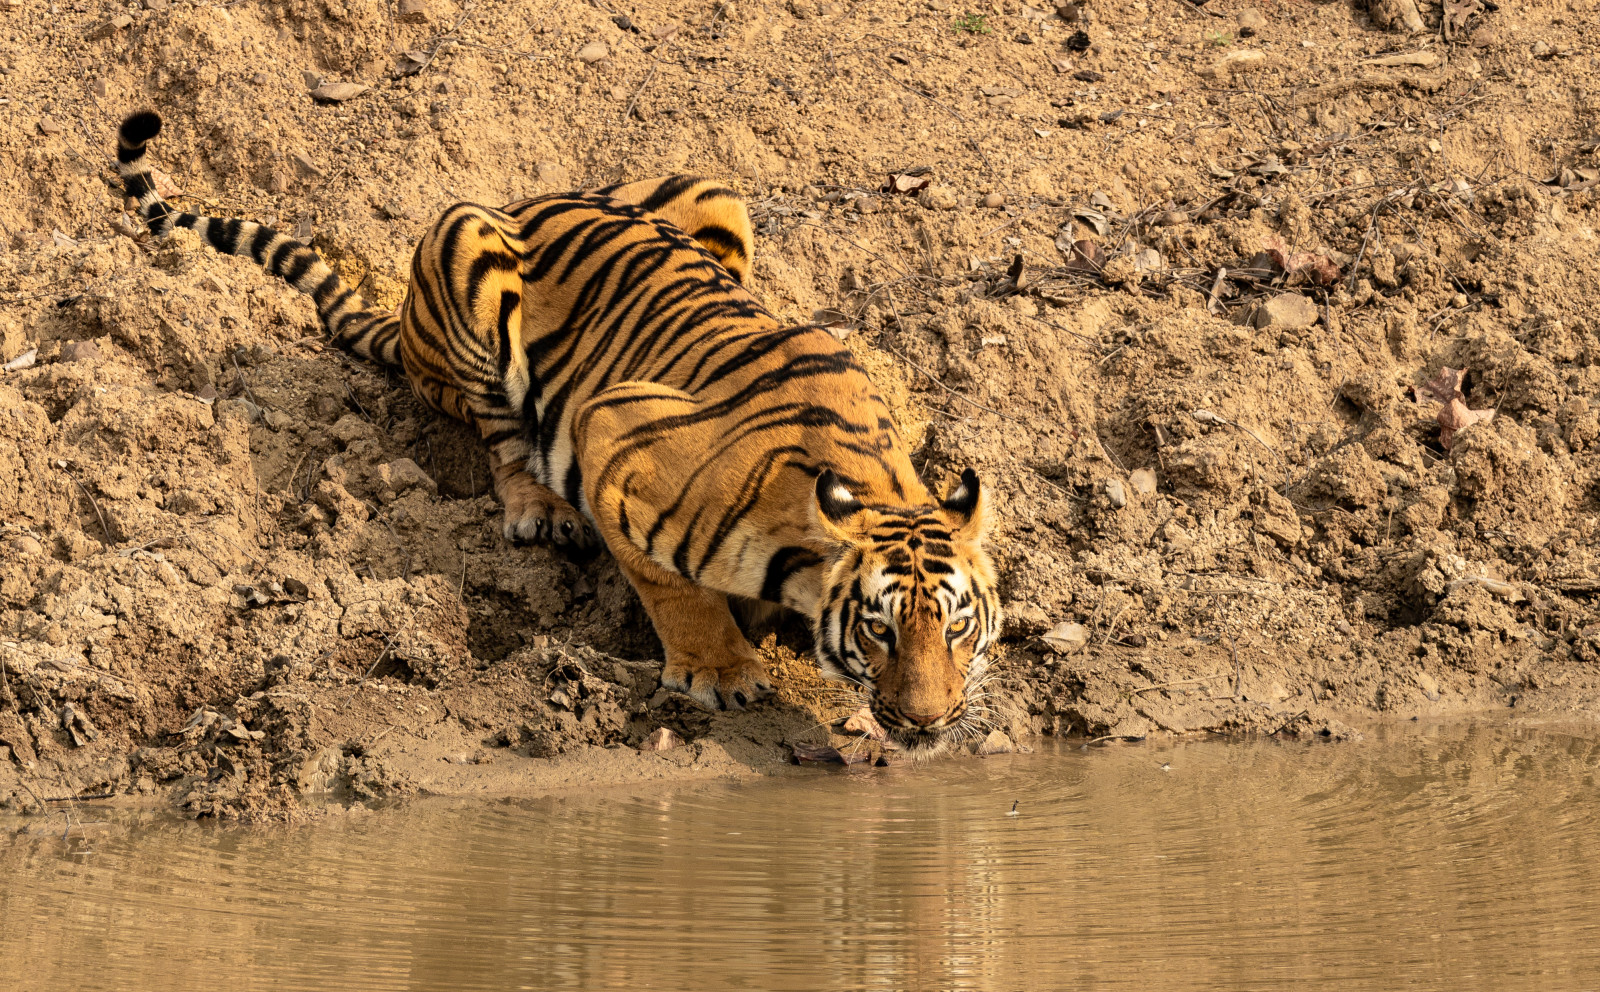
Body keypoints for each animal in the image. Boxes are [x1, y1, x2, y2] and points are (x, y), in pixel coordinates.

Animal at [116, 112, 998, 752]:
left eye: (956, 627)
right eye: (880, 629)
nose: (928, 721)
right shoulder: (615, 430)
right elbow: (669, 585)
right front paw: (721, 670)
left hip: (714, 191)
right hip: (462, 247)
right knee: (503, 439)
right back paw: (542, 512)